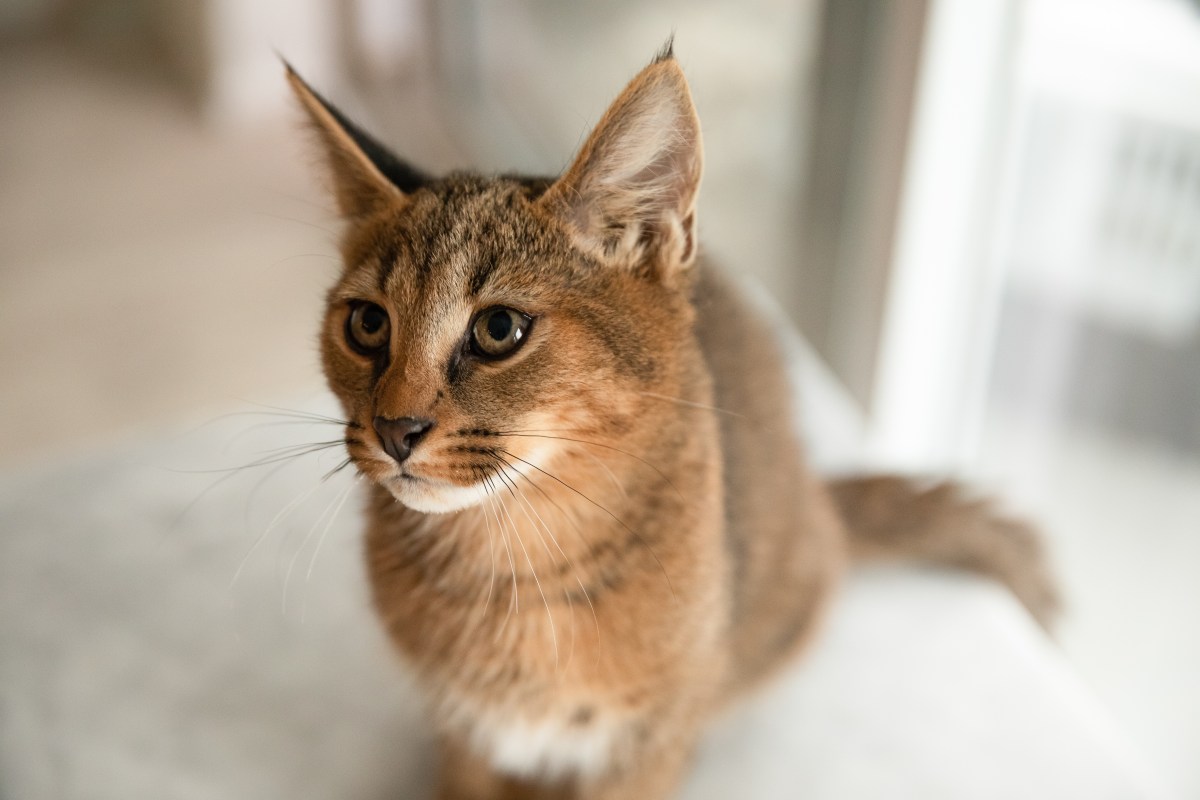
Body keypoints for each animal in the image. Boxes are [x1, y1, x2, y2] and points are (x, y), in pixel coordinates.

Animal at [285, 43, 1056, 800]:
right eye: (367, 324)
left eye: (499, 329)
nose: (394, 429)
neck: (512, 571)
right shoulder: (463, 736)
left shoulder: (642, 745)